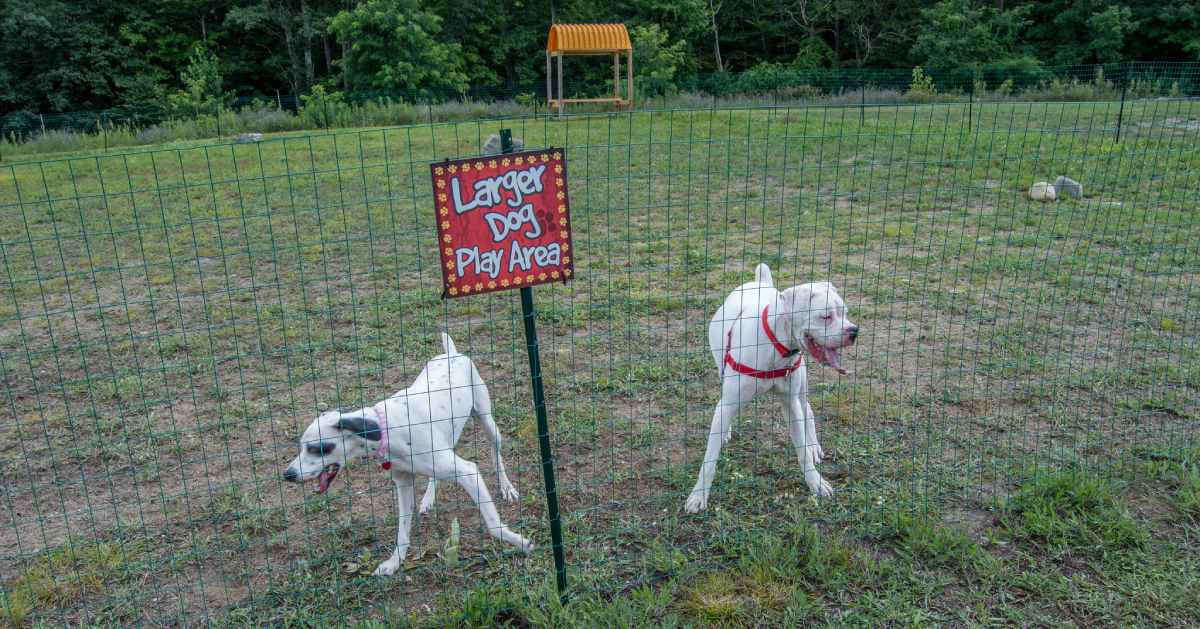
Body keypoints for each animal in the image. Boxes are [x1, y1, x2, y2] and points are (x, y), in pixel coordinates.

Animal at [280, 333, 530, 573]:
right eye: (302, 446)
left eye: (317, 448)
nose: (288, 475)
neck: (385, 429)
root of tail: (453, 353)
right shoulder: (403, 483)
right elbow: (402, 532)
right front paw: (394, 563)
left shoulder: (468, 472)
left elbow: (493, 524)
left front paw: (520, 542)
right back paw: (428, 499)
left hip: (488, 425)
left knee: (496, 456)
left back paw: (507, 487)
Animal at [686, 262, 864, 513]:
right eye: (826, 316)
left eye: (845, 313)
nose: (854, 331)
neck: (776, 344)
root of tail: (760, 282)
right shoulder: (728, 402)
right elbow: (710, 457)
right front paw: (698, 496)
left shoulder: (791, 404)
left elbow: (802, 451)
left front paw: (815, 482)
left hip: (801, 389)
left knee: (808, 411)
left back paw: (814, 446)